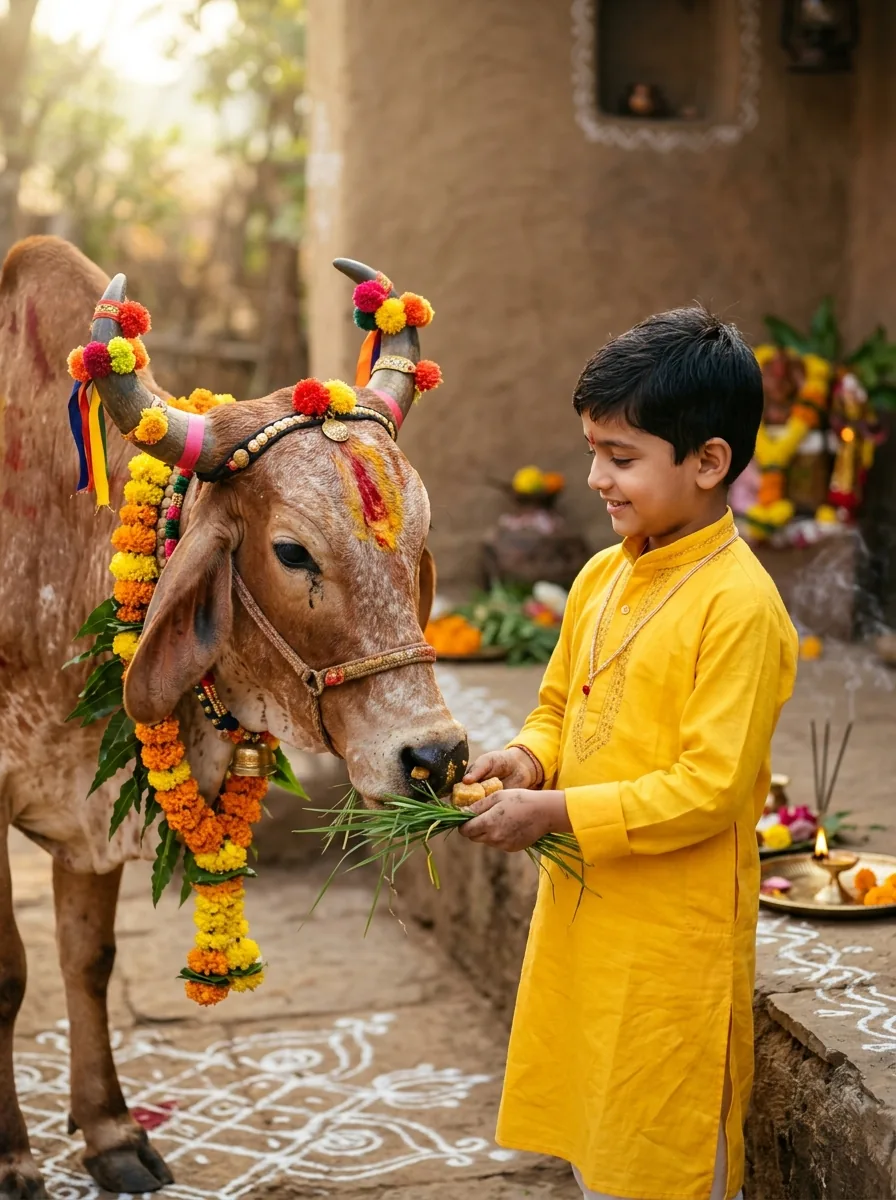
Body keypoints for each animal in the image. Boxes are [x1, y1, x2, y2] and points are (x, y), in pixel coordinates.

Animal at [0, 235, 467, 1198]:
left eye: (419, 536)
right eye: (292, 551)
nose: (434, 758)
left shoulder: (87, 805)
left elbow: (85, 959)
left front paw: (109, 1133)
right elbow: (7, 975)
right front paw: (14, 1155)